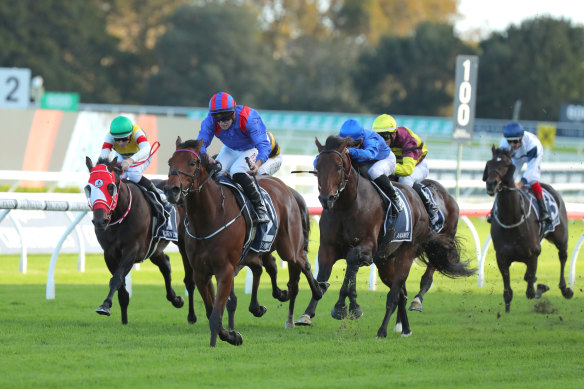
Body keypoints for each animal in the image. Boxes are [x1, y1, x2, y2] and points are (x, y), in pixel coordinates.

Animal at [84, 156, 188, 322]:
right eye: (88, 188)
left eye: (110, 187)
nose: (100, 221)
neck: (120, 216)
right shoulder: (109, 253)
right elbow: (120, 285)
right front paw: (123, 316)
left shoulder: (132, 249)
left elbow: (117, 278)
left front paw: (105, 305)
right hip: (154, 249)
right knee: (165, 264)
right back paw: (176, 299)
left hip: (183, 242)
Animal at [163, 137, 324, 346]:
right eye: (170, 162)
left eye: (192, 163)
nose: (171, 190)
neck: (209, 217)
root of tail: (286, 189)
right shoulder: (201, 272)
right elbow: (211, 310)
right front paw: (229, 334)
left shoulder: (225, 270)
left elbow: (216, 312)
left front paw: (231, 336)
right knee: (264, 267)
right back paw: (264, 303)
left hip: (288, 246)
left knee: (302, 262)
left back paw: (317, 290)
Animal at [294, 136, 472, 336]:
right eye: (318, 166)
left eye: (338, 166)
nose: (326, 199)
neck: (347, 205)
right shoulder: (328, 247)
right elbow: (324, 278)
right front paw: (307, 314)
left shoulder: (368, 247)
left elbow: (351, 262)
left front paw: (345, 306)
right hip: (386, 262)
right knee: (401, 293)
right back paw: (405, 328)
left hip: (409, 252)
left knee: (398, 291)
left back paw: (386, 327)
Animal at [482, 146, 572, 312]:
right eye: (489, 164)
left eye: (506, 165)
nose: (491, 184)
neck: (512, 219)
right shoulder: (502, 258)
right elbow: (508, 291)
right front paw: (506, 310)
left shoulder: (533, 254)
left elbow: (530, 289)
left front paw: (542, 287)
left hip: (561, 237)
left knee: (563, 256)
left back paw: (565, 289)